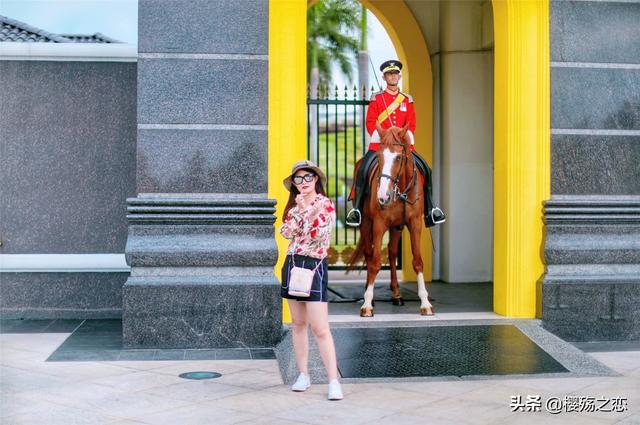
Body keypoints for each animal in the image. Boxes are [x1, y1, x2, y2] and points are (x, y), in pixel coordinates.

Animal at [350, 121, 436, 314]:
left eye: (398, 157)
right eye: (379, 156)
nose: (383, 196)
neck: (400, 189)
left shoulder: (415, 223)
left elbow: (417, 261)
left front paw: (425, 302)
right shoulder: (379, 224)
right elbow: (374, 262)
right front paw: (367, 303)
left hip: (396, 226)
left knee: (392, 252)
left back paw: (396, 294)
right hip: (366, 223)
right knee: (369, 254)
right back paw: (370, 294)